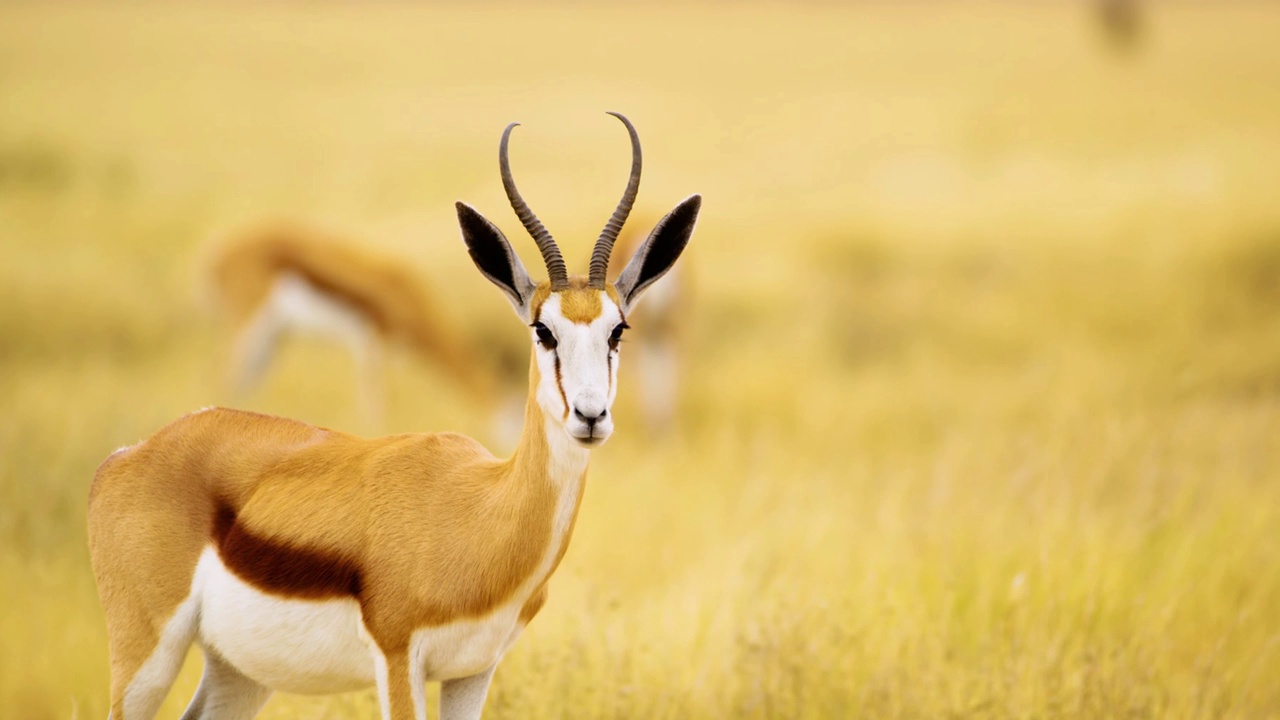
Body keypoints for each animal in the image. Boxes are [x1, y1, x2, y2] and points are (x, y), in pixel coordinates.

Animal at [88, 113, 701, 717]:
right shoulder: (399, 657)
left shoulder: (474, 670)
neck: (479, 508)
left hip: (239, 672)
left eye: (617, 330)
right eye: (542, 330)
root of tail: (128, 455)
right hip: (147, 655)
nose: (590, 415)